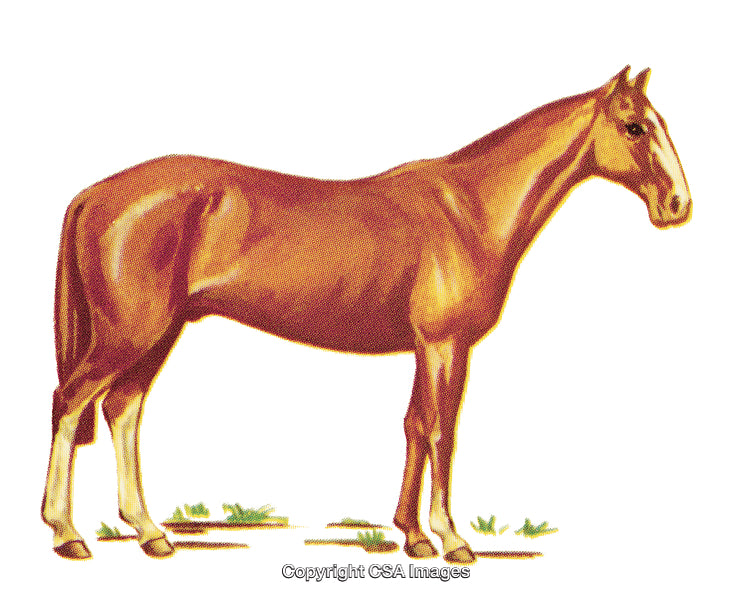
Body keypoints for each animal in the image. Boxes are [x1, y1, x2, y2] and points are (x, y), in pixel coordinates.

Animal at [42, 66, 691, 562]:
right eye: (635, 126)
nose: (678, 205)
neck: (469, 209)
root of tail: (95, 194)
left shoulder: (427, 349)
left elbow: (414, 428)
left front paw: (413, 535)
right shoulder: (447, 346)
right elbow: (442, 432)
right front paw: (452, 540)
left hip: (159, 333)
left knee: (123, 410)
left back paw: (150, 533)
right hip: (131, 333)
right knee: (71, 403)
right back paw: (68, 533)